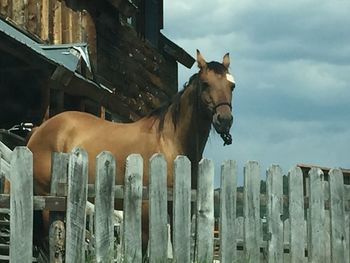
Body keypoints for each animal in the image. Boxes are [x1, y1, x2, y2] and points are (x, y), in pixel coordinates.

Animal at [21, 51, 237, 252]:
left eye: (231, 86)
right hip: (49, 202)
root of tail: (39, 129)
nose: (224, 120)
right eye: (206, 84)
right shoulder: (146, 207)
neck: (169, 142)